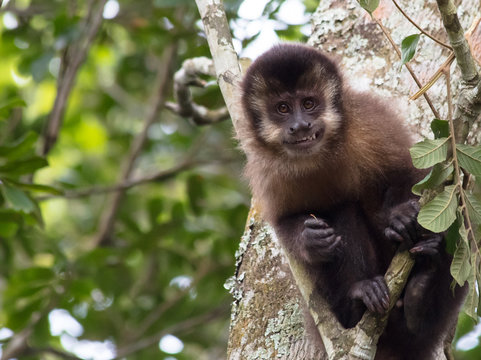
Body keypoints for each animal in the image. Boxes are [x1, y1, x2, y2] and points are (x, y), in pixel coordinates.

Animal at [238, 44, 464, 360]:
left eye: (309, 103)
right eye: (282, 108)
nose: (300, 125)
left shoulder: (369, 122)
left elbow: (412, 176)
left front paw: (400, 217)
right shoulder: (267, 171)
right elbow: (286, 224)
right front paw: (309, 239)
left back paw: (420, 299)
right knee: (341, 211)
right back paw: (358, 302)